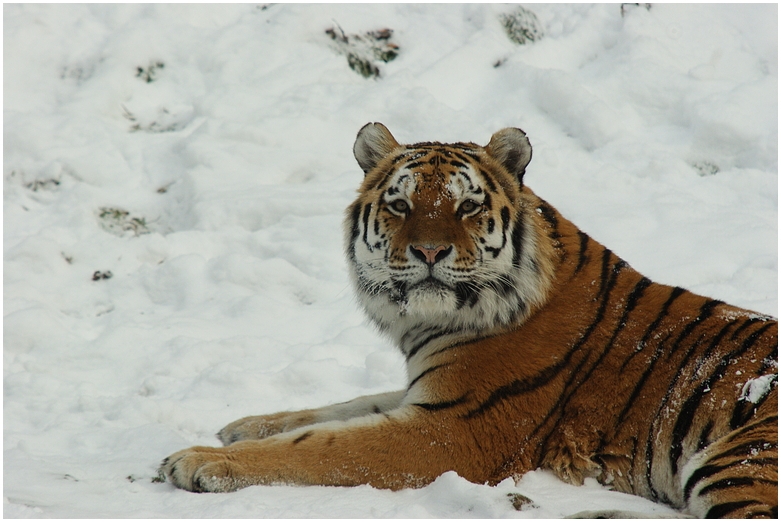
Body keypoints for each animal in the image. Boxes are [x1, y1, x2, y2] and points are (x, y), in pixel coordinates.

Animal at [161, 122, 776, 516]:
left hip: (737, 462)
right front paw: (245, 424)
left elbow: (322, 448)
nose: (430, 252)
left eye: (467, 206)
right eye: (401, 205)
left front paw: (198, 460)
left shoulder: (452, 432)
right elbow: (341, 408)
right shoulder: (429, 396)